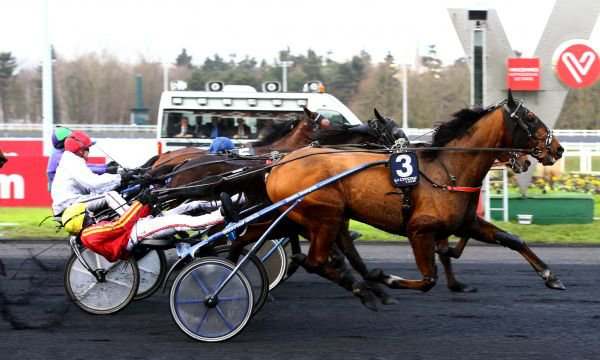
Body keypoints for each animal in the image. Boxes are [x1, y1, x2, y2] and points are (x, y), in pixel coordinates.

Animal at [264, 91, 564, 308]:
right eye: (531, 118)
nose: (558, 149)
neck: (448, 169)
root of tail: (277, 168)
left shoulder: (465, 223)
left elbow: (513, 239)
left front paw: (551, 277)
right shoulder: (420, 230)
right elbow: (429, 278)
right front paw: (388, 277)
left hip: (333, 218)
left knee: (337, 255)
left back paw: (368, 287)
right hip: (325, 216)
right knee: (315, 261)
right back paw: (366, 290)